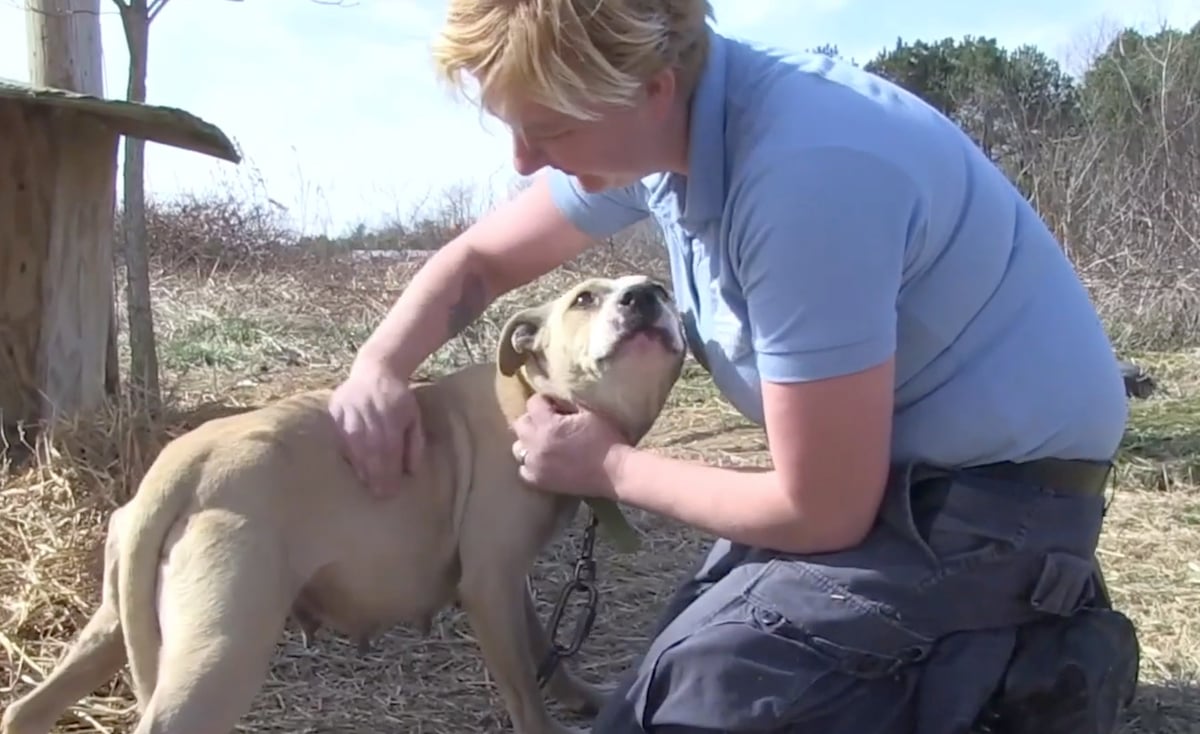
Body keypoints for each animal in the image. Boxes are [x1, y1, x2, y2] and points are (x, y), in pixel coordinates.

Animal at [1, 275, 687, 734]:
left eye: (659, 290)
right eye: (584, 299)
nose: (647, 294)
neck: (532, 392)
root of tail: (182, 465)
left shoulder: (504, 580)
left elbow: (544, 647)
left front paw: (583, 694)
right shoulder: (489, 583)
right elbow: (525, 690)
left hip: (112, 626)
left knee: (26, 709)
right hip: (224, 647)